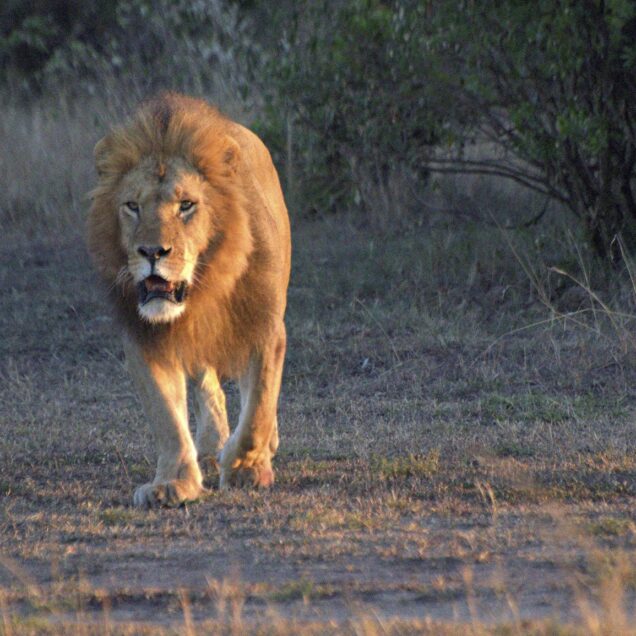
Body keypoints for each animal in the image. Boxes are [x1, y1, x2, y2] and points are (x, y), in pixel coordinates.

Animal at [87, 93, 290, 506]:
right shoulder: (146, 338)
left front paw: (246, 468)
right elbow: (166, 416)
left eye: (186, 205)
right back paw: (211, 443)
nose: (152, 251)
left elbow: (259, 406)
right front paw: (173, 483)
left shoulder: (265, 328)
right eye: (132, 205)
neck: (203, 290)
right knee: (206, 384)